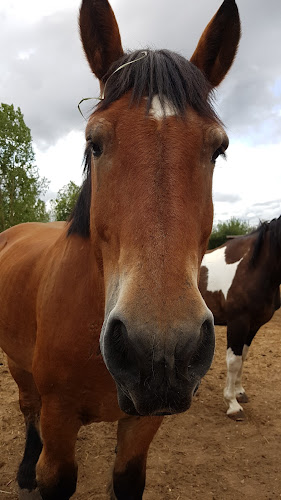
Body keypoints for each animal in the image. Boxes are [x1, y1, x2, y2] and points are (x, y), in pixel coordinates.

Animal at [0, 0, 240, 500]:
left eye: (218, 149)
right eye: (95, 141)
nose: (162, 353)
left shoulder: (144, 422)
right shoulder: (59, 418)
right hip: (17, 364)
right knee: (27, 408)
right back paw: (26, 470)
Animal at [199, 217, 280, 420]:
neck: (254, 266)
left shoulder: (253, 325)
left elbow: (243, 357)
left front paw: (239, 392)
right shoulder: (238, 322)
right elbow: (234, 361)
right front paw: (232, 404)